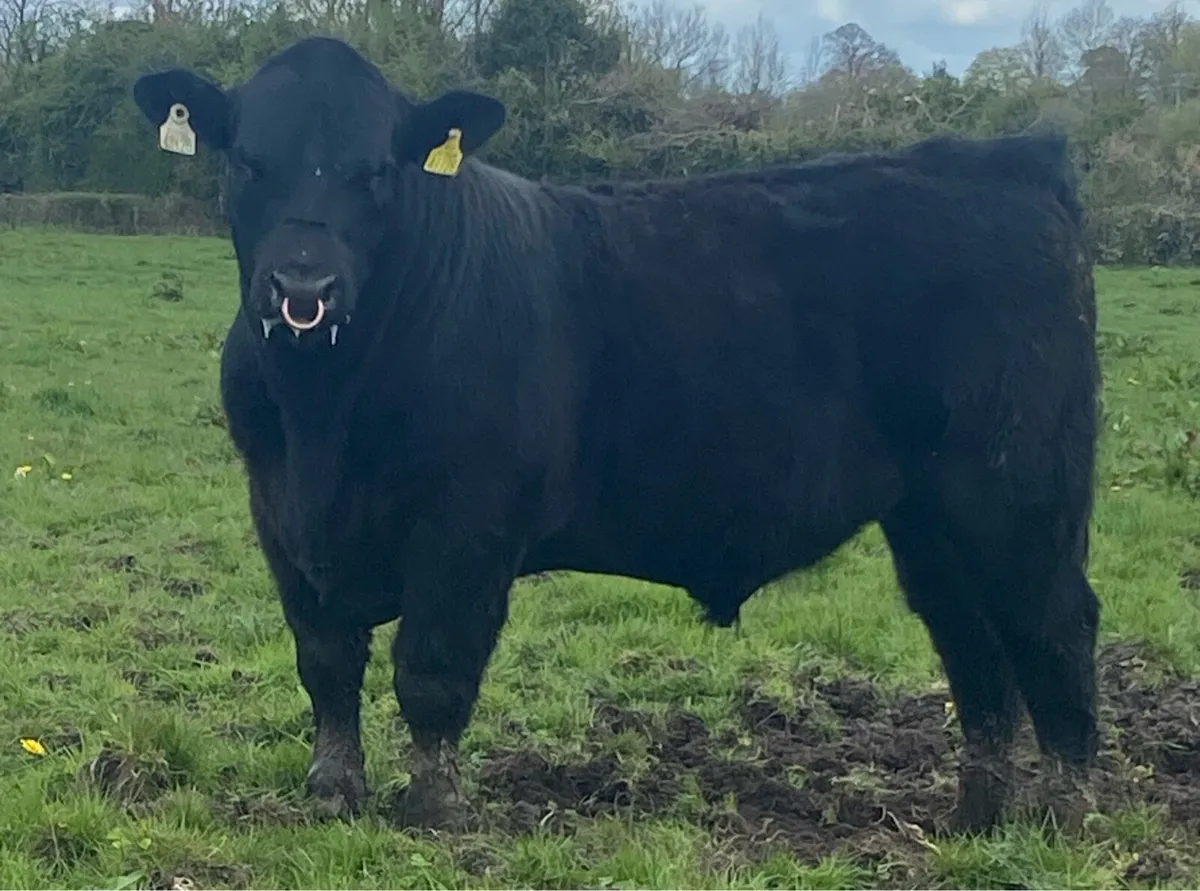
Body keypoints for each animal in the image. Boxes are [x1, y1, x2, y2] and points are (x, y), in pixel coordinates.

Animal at [132, 35, 1101, 834]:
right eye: (247, 161)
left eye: (377, 172)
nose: (304, 286)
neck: (322, 418)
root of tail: (1007, 161)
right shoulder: (281, 516)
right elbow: (327, 662)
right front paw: (334, 791)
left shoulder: (466, 527)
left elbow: (430, 668)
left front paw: (433, 809)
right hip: (931, 513)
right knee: (974, 643)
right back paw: (975, 815)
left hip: (1018, 488)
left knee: (1054, 622)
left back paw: (1066, 813)